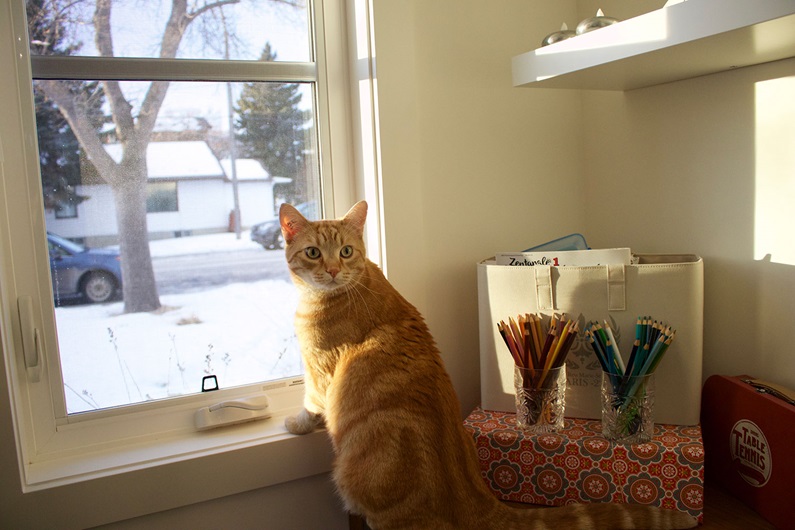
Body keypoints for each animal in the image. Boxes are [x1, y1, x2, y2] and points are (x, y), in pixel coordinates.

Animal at [280, 201, 696, 528]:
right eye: (314, 253)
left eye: (346, 251)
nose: (333, 270)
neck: (351, 285)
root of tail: (478, 499)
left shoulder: (319, 373)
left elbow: (310, 405)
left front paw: (294, 424)